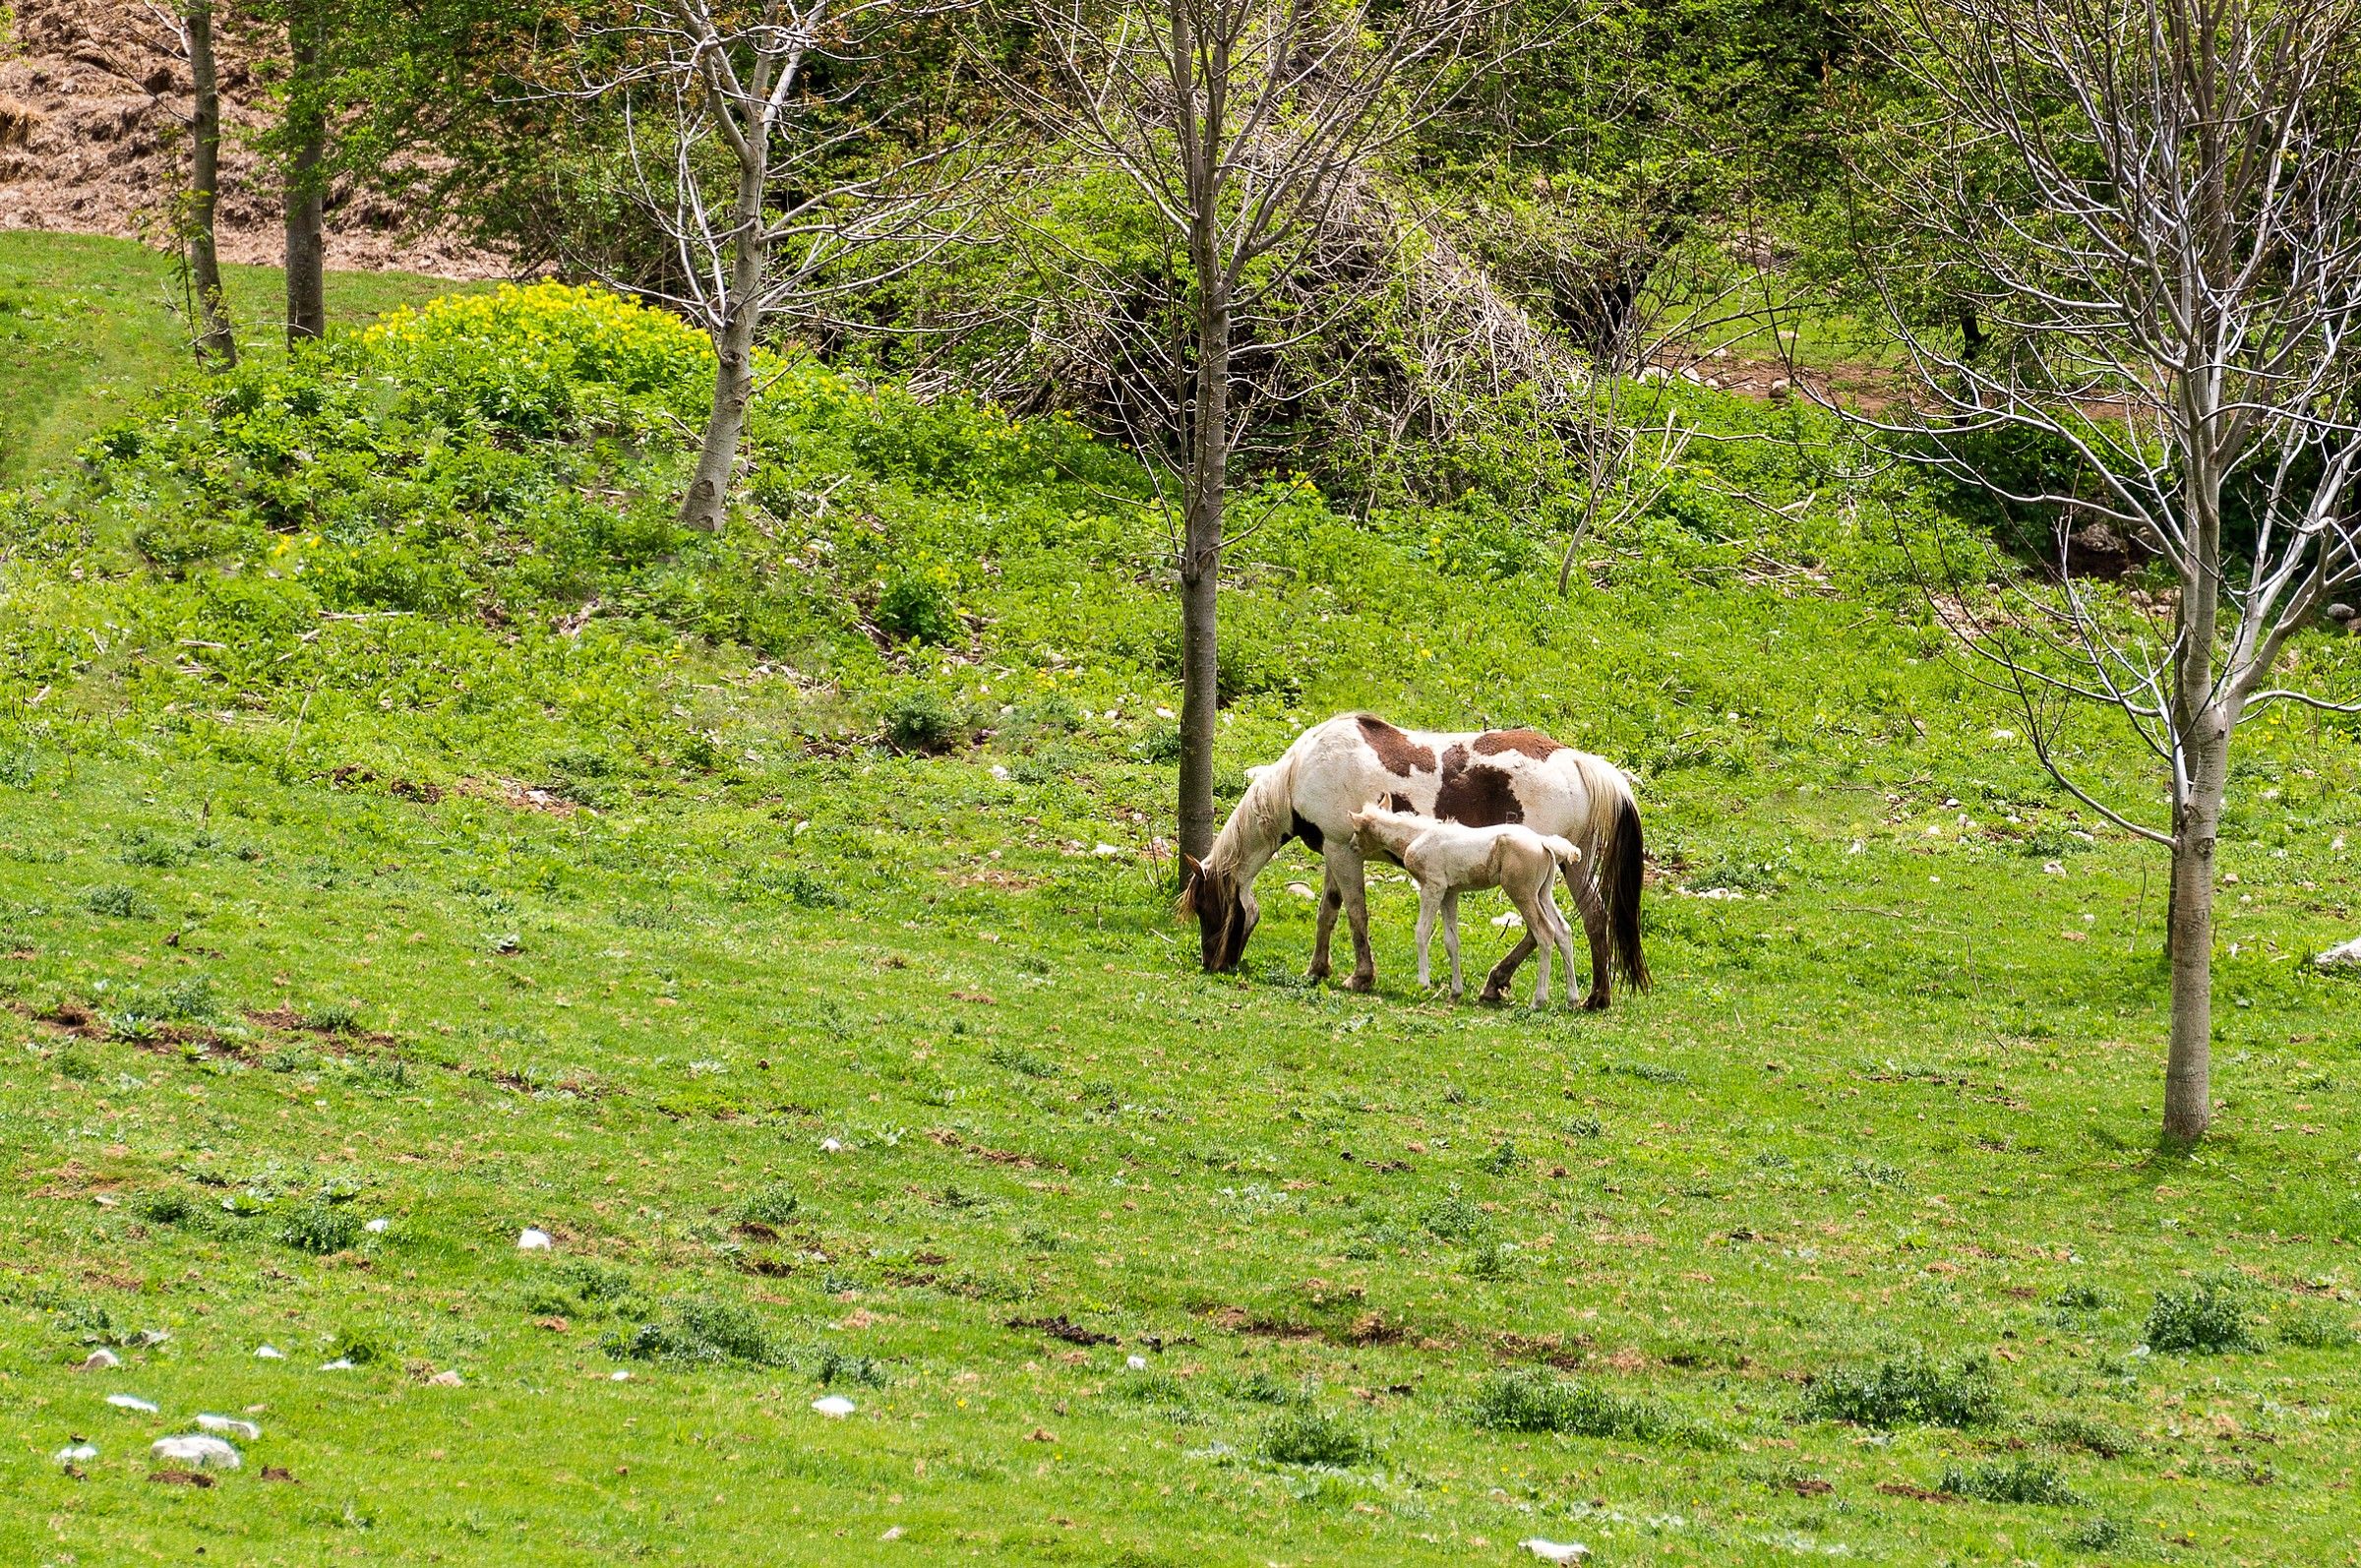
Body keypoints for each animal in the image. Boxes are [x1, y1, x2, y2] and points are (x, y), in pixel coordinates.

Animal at [1347, 807, 1583, 1005]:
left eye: (1357, 830)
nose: (1351, 845)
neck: (1417, 836)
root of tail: (1544, 843)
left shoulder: (1433, 887)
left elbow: (1422, 931)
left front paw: (1423, 982)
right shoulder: (1450, 893)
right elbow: (1451, 941)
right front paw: (1455, 992)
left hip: (1522, 894)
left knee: (1545, 932)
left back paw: (1538, 1000)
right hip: (1543, 894)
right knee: (1563, 931)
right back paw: (1572, 999)